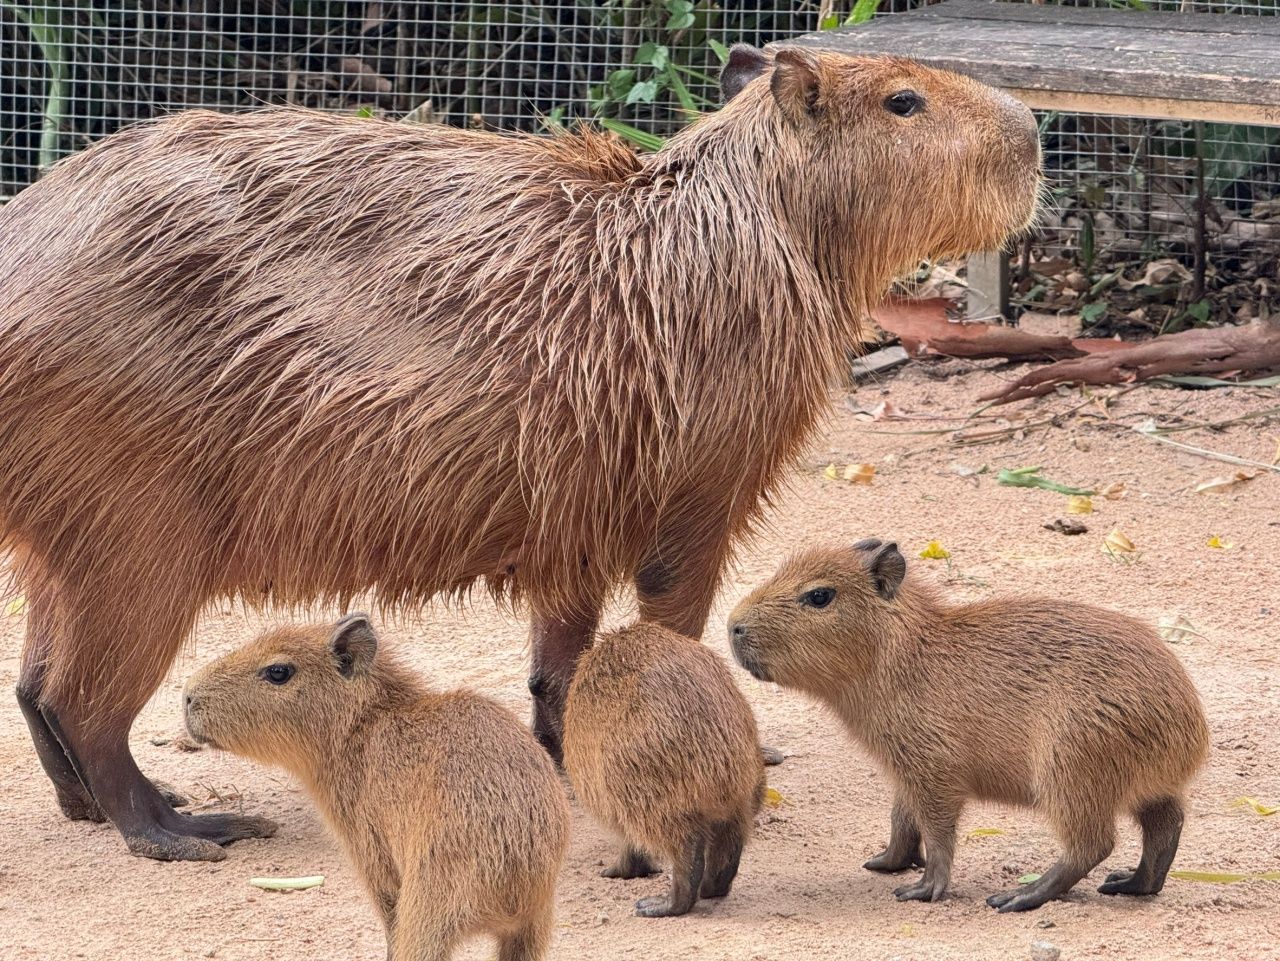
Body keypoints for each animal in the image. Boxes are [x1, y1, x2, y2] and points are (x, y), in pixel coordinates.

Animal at [184, 615, 569, 959]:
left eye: (278, 671)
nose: (188, 696)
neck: (366, 728)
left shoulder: (373, 858)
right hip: (532, 929)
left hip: (430, 911)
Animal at [563, 623, 764, 917]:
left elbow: (630, 843)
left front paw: (615, 871)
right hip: (742, 798)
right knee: (728, 847)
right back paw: (711, 888)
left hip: (651, 799)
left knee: (686, 851)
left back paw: (659, 904)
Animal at [727, 540, 1208, 912]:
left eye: (820, 596)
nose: (734, 626)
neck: (912, 657)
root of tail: (1191, 731)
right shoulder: (906, 768)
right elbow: (902, 817)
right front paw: (884, 862)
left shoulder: (935, 771)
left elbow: (938, 832)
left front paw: (922, 889)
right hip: (1145, 786)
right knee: (1166, 827)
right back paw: (1129, 883)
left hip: (1071, 771)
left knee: (1093, 844)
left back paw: (1017, 897)